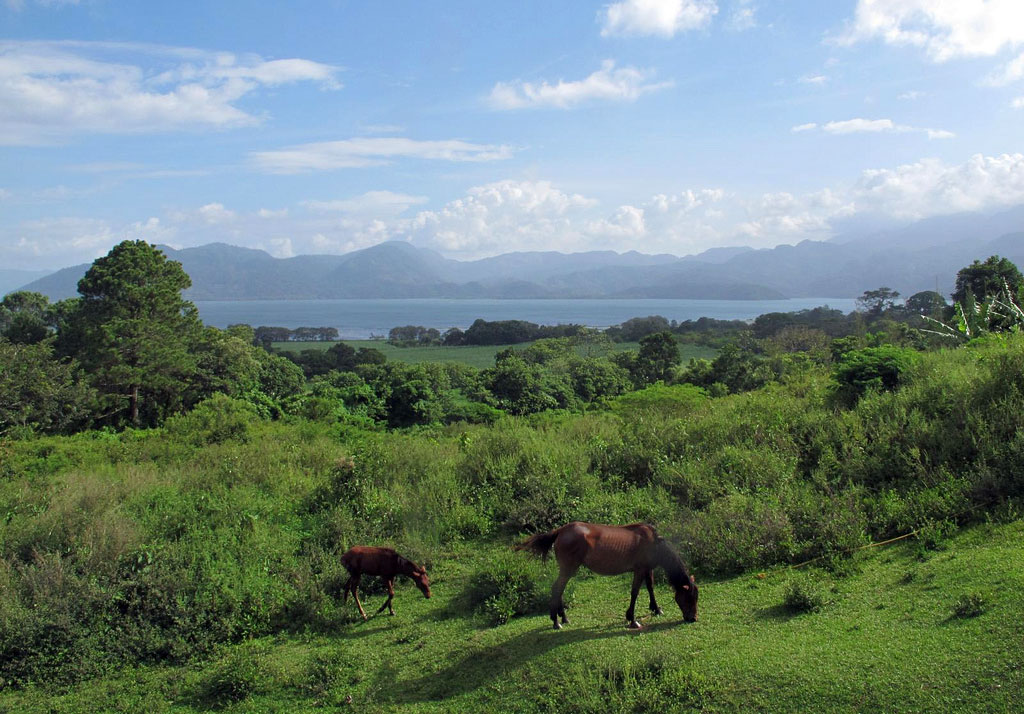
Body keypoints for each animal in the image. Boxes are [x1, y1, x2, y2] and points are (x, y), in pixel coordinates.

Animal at [516, 518, 700, 631]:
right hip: (569, 568)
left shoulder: (648, 569)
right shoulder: (639, 570)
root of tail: (560, 531)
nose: (693, 618)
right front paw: (632, 619)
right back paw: (556, 621)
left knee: (559, 590)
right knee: (557, 589)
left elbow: (650, 588)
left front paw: (656, 609)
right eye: (688, 598)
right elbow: (635, 592)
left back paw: (563, 618)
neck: (654, 543)